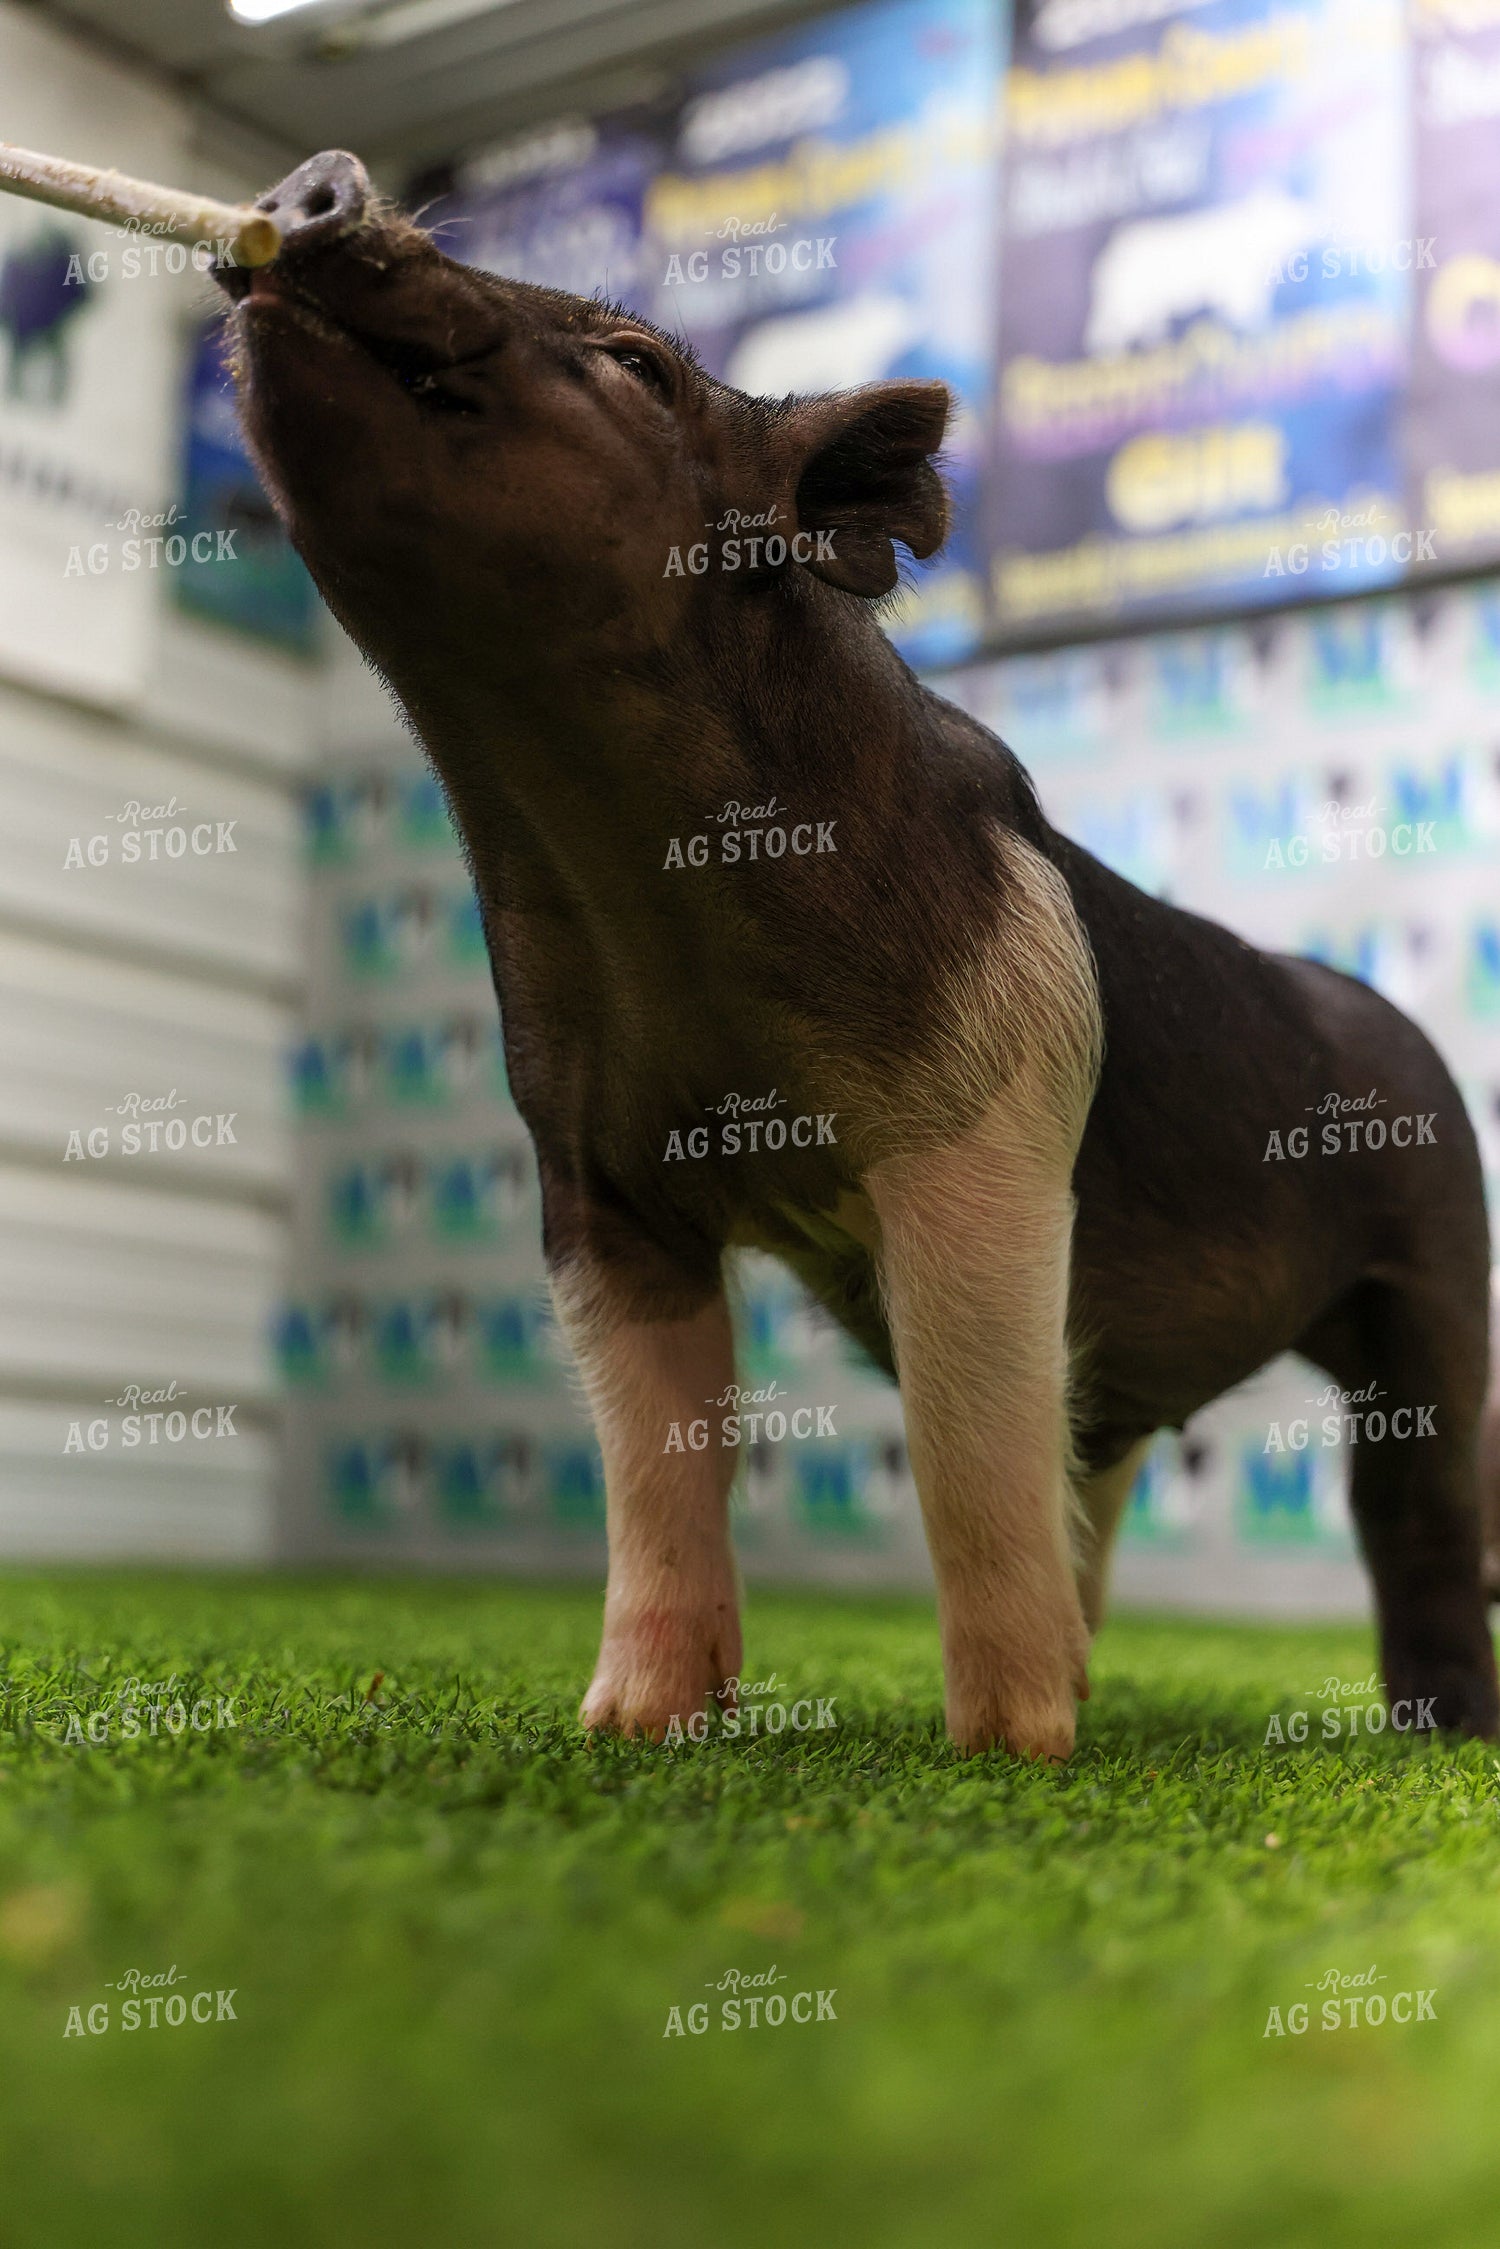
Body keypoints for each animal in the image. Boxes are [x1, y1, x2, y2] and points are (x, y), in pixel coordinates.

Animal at [218, 152, 1498, 1759]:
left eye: (637, 365)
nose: (321, 183)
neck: (648, 893)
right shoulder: (589, 1180)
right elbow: (660, 1463)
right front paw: (632, 1730)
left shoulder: (985, 1124)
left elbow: (965, 1448)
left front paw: (1009, 1752)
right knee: (1096, 1467)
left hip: (1441, 1259)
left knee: (1414, 1502)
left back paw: (1438, 1732)